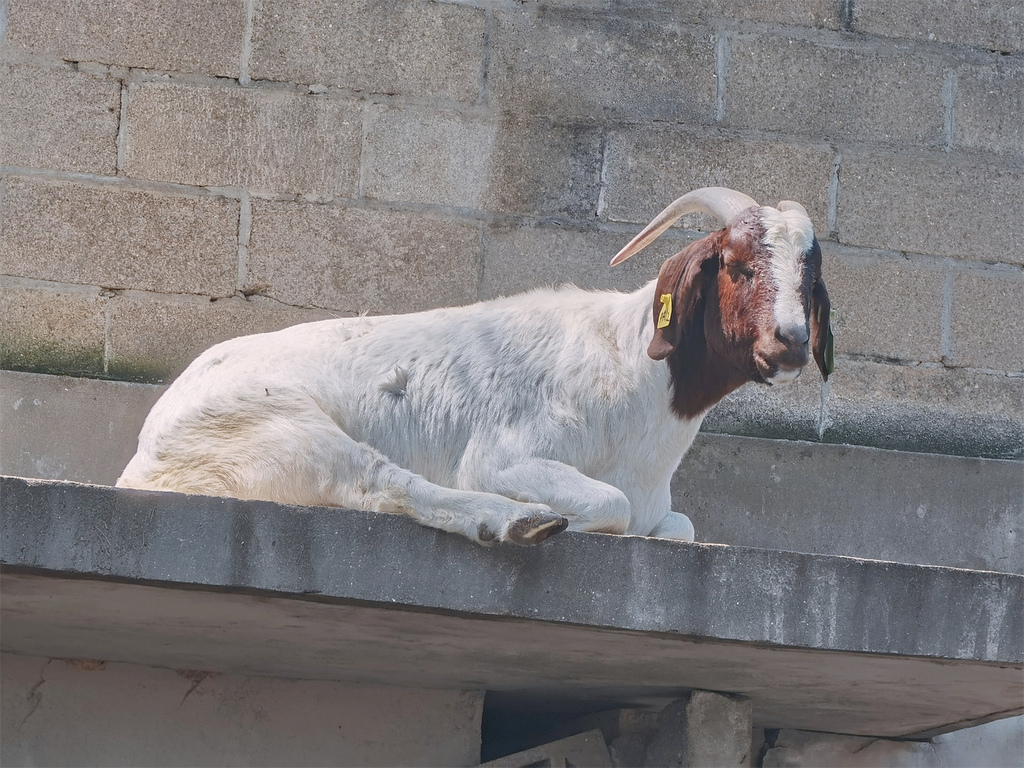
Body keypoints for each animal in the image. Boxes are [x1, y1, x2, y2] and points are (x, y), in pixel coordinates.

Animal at [117, 187, 831, 546]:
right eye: (737, 263)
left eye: (810, 271)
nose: (791, 342)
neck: (634, 375)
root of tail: (145, 453)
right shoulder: (502, 456)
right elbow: (614, 504)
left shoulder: (666, 511)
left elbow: (677, 528)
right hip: (281, 425)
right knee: (381, 481)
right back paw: (515, 522)